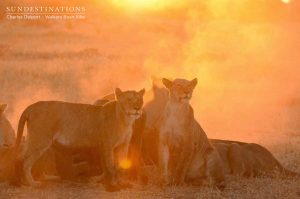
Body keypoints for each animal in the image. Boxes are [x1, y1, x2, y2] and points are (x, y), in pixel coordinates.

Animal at [14, 88, 145, 190]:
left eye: (139, 100)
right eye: (129, 99)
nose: (137, 108)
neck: (126, 120)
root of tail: (31, 106)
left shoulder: (123, 145)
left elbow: (119, 165)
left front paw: (121, 182)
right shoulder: (108, 145)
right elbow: (110, 166)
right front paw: (113, 184)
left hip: (35, 140)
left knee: (21, 157)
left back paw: (26, 181)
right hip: (40, 140)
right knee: (24, 160)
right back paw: (31, 183)